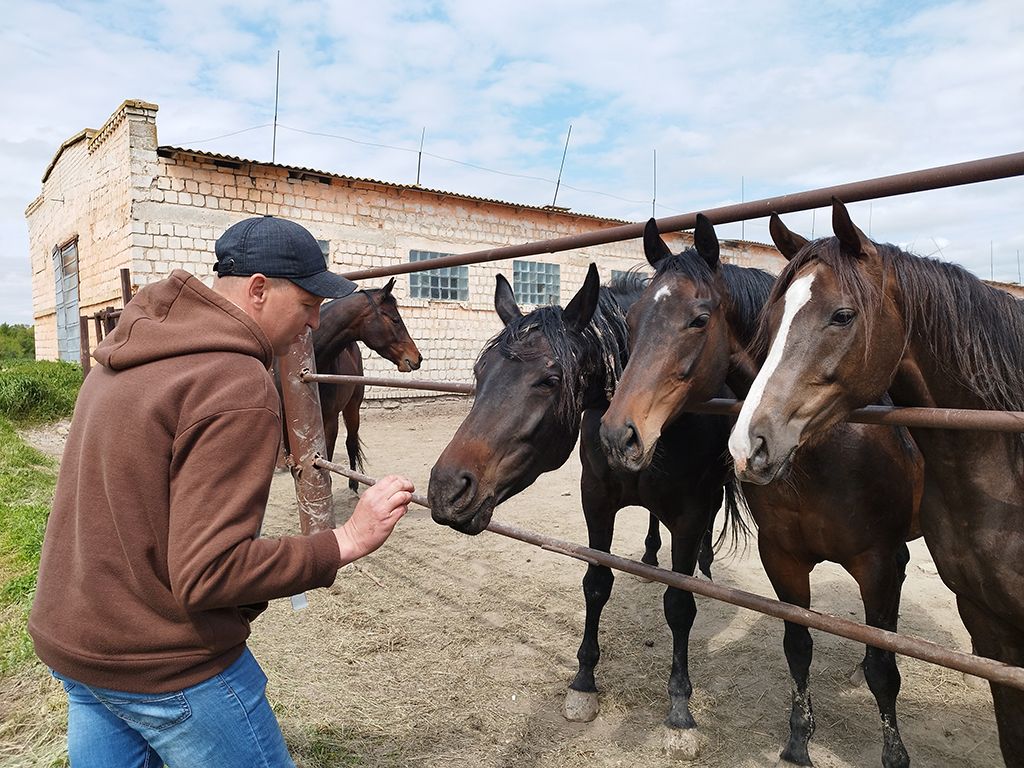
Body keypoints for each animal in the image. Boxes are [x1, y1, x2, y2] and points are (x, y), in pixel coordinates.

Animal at [425, 264, 745, 757]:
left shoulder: (689, 516)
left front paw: (679, 710)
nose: (446, 490)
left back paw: (705, 567)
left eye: (550, 380)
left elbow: (678, 605)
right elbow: (596, 586)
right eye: (480, 371)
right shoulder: (596, 501)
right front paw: (583, 682)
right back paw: (649, 554)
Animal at [602, 217, 925, 768]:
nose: (618, 433)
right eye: (634, 317)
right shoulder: (783, 558)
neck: (825, 450)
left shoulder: (881, 561)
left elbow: (884, 668)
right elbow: (798, 645)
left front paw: (895, 754)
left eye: (699, 319)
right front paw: (797, 742)